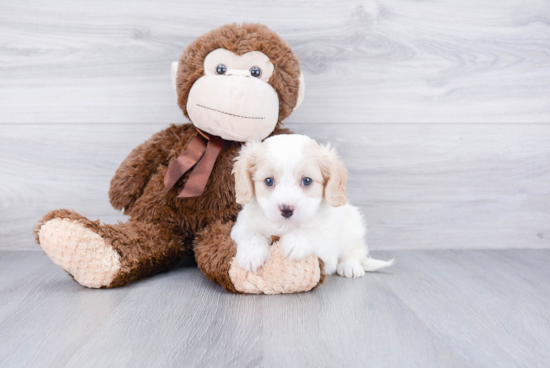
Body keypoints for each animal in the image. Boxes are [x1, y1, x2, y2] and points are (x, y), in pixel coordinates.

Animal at [231, 134, 394, 278]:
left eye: (307, 180)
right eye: (269, 181)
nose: (286, 209)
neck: (286, 226)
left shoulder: (329, 243)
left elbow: (315, 232)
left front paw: (295, 242)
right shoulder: (241, 225)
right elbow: (250, 233)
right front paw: (251, 254)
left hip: (354, 230)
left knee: (356, 252)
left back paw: (350, 266)